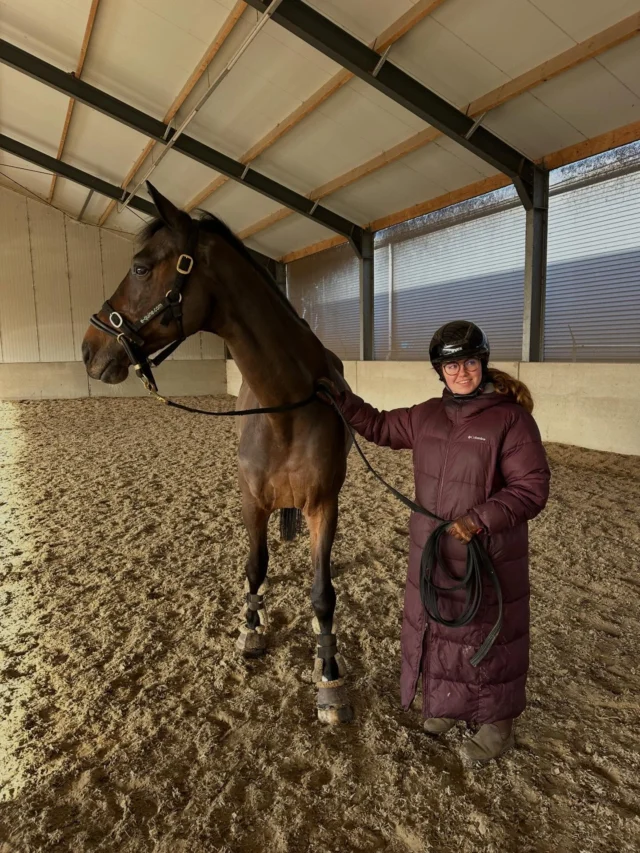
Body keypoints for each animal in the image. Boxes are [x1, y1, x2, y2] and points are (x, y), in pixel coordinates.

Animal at [81, 183, 353, 723]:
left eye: (140, 267)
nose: (88, 349)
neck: (287, 410)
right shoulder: (251, 502)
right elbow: (255, 566)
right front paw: (251, 631)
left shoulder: (323, 507)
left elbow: (322, 593)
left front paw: (329, 676)